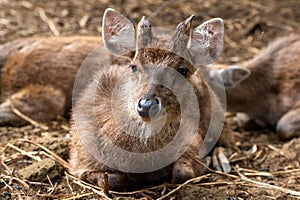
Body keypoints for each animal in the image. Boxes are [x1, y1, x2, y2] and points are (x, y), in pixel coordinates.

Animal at [68, 8, 227, 192]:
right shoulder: (77, 160)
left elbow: (182, 173)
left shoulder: (191, 138)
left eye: (182, 70)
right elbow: (112, 180)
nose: (146, 105)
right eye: (134, 66)